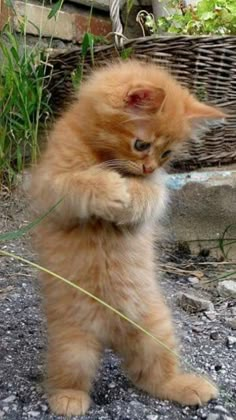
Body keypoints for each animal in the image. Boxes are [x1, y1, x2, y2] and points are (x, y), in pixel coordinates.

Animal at [30, 60, 225, 416]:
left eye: (166, 154)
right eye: (141, 145)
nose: (148, 168)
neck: (102, 155)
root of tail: (112, 331)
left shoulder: (156, 192)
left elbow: (149, 196)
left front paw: (131, 192)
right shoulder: (51, 186)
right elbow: (80, 182)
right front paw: (110, 186)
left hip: (156, 330)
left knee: (152, 376)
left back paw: (188, 386)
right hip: (72, 343)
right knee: (71, 376)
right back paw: (68, 399)